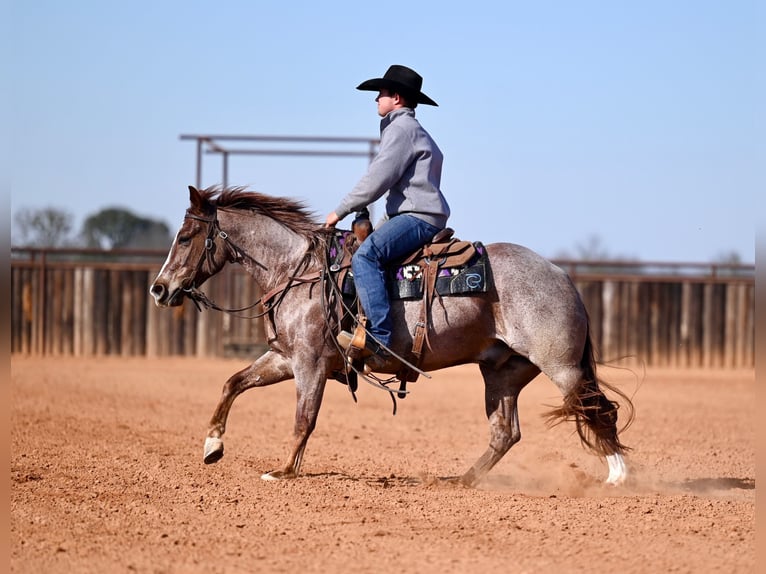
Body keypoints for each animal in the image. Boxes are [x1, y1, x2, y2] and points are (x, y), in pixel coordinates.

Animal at [150, 185, 634, 487]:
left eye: (186, 236)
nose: (158, 288)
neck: (299, 272)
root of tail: (562, 276)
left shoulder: (309, 364)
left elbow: (304, 418)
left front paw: (283, 471)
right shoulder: (286, 359)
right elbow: (232, 383)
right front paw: (213, 446)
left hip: (562, 366)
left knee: (600, 411)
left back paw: (617, 476)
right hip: (502, 373)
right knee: (505, 433)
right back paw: (459, 480)